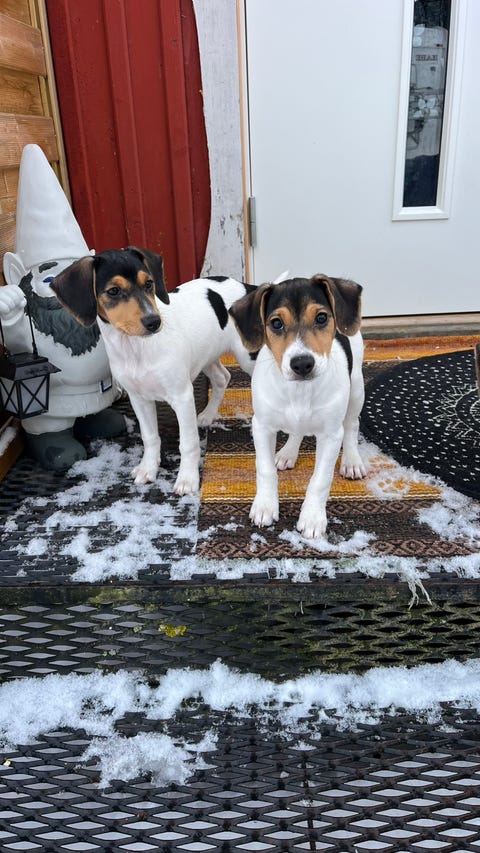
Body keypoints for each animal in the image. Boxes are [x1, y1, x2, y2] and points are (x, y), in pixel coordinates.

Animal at [51, 247, 257, 495]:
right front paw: (148, 468)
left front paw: (187, 479)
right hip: (206, 355)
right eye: (113, 291)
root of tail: (247, 288)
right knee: (222, 377)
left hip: (249, 358)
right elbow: (149, 437)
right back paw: (208, 415)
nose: (154, 321)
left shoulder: (182, 396)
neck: (135, 348)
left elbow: (188, 443)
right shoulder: (138, 399)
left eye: (149, 283)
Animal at [229, 274, 367, 539]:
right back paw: (288, 452)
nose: (302, 363)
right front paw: (265, 506)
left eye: (321, 318)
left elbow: (320, 479)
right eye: (276, 323)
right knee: (297, 430)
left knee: (352, 425)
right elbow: (264, 470)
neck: (300, 392)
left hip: (356, 389)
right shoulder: (261, 427)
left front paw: (312, 517)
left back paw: (352, 460)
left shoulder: (331, 435)